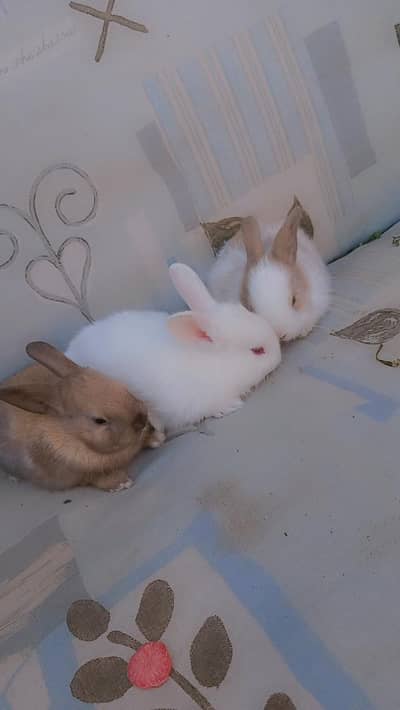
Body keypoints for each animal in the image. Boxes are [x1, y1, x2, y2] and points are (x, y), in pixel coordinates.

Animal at [0, 342, 165, 491]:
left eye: (123, 388)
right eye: (99, 421)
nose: (142, 419)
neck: (74, 435)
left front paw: (157, 439)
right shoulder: (81, 475)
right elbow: (98, 477)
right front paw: (122, 483)